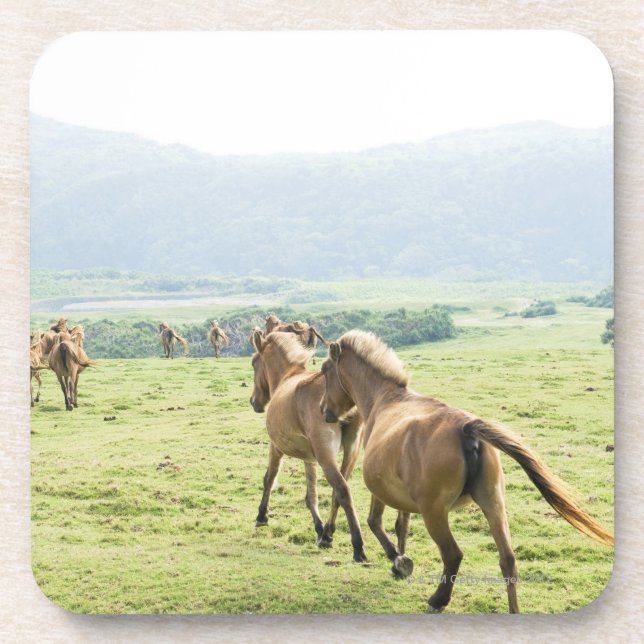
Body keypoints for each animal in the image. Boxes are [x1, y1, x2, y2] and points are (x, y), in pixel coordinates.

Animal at [249, 329, 367, 562]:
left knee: (342, 490)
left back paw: (357, 547)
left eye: (253, 363)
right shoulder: (309, 457)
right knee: (338, 491)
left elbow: (269, 478)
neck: (288, 376)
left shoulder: (276, 447)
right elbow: (311, 496)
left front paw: (261, 516)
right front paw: (319, 528)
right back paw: (327, 534)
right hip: (351, 451)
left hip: (326, 455)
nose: (253, 402)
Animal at [319, 330, 613, 613]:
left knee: (453, 554)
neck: (385, 399)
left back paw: (438, 599)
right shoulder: (402, 496)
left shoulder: (380, 490)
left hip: (435, 512)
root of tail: (466, 430)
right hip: (493, 504)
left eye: (325, 370)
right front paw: (399, 561)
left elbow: (375, 522)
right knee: (508, 560)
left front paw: (399, 561)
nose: (323, 411)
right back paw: (512, 609)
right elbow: (401, 525)